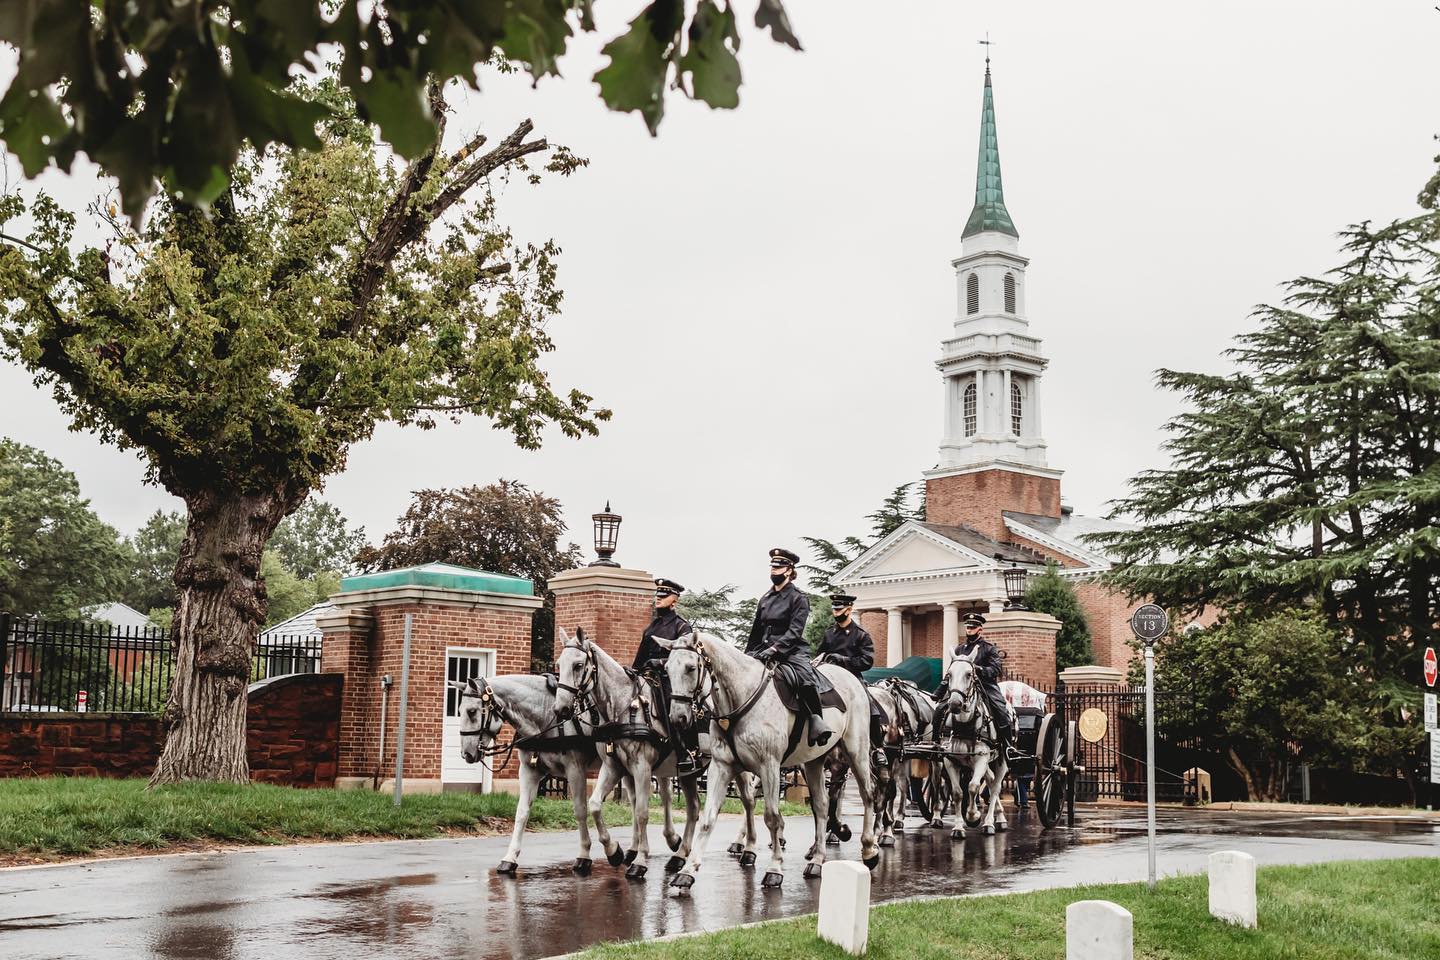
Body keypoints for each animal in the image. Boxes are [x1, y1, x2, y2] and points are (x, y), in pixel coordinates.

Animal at [452, 673, 604, 875]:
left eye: (471, 711)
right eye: (459, 711)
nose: (466, 754)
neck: (546, 714)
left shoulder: (575, 769)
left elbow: (580, 810)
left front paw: (584, 855)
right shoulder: (528, 771)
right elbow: (522, 813)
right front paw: (510, 858)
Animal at [656, 630, 875, 892]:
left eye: (690, 668)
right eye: (667, 669)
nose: (677, 718)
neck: (740, 698)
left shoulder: (769, 766)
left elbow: (772, 817)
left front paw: (774, 869)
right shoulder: (722, 766)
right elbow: (708, 819)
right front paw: (688, 871)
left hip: (856, 752)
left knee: (868, 795)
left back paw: (869, 849)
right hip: (813, 762)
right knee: (821, 805)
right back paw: (817, 860)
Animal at [944, 656, 1013, 834]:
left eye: (969, 674)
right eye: (949, 674)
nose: (955, 704)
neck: (965, 726)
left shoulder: (981, 759)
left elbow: (973, 787)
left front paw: (973, 816)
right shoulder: (950, 761)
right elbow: (957, 793)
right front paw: (958, 827)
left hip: (1002, 760)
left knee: (995, 788)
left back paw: (990, 823)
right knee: (990, 779)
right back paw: (999, 816)